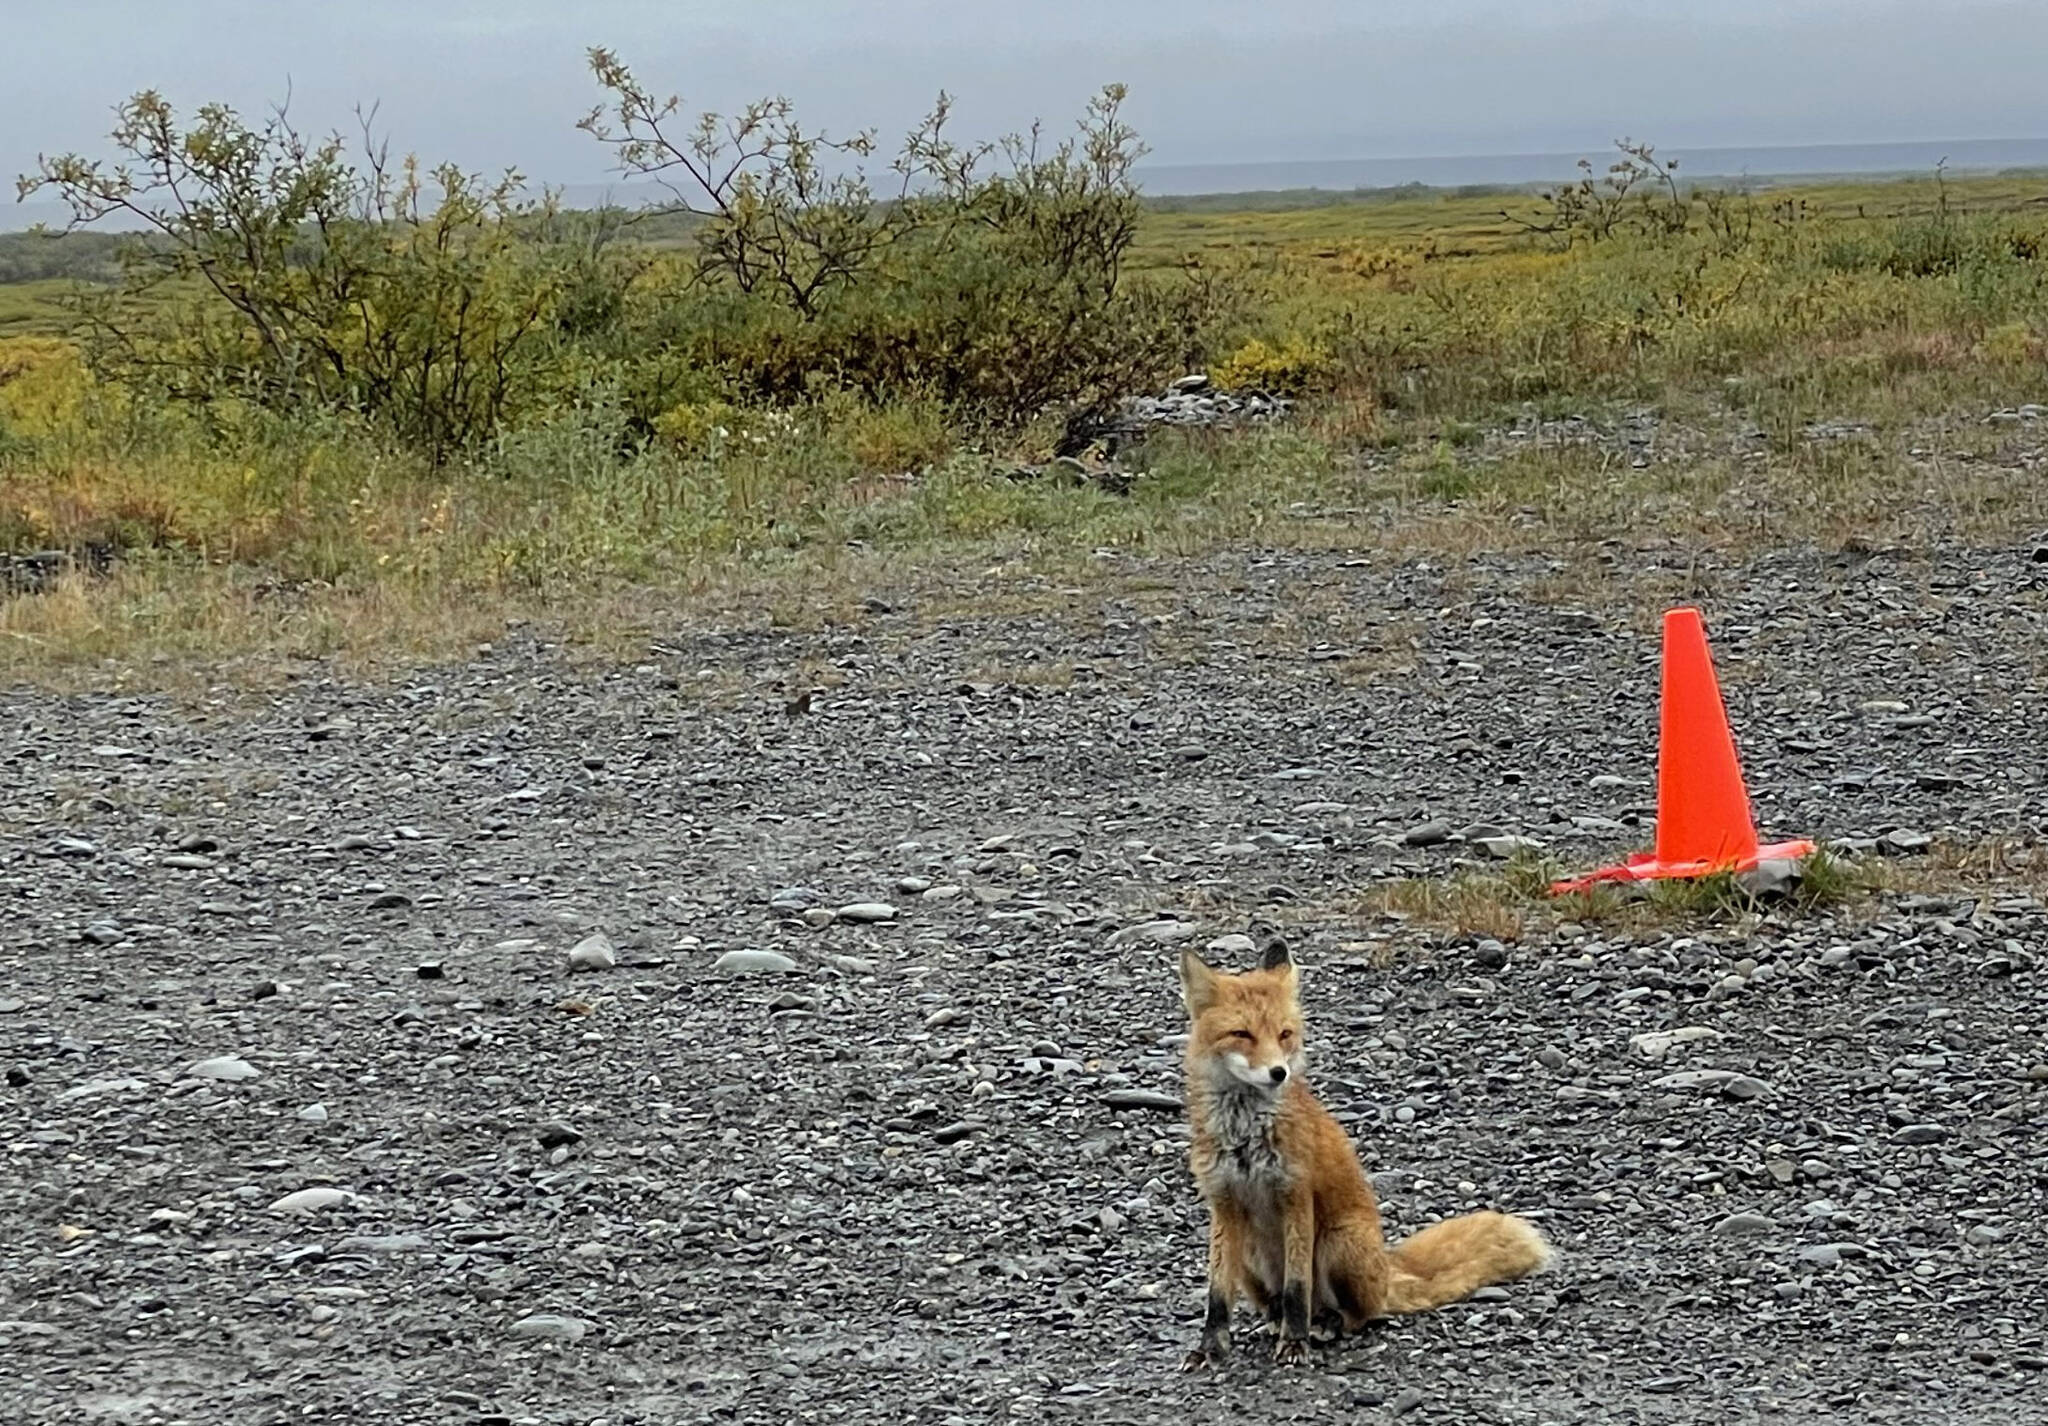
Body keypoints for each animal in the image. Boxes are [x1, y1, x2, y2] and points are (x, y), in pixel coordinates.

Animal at [1179, 942, 1540, 1368]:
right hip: (1251, 1254)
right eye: (1241, 1034)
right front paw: (1210, 1348)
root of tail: (1386, 1268)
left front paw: (1295, 1342)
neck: (1245, 1137)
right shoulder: (1224, 1204)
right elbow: (1218, 1295)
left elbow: (1297, 1289)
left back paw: (1324, 1324)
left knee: (1358, 1314)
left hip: (1338, 1243)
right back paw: (1276, 1322)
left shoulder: (1296, 1196)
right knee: (1276, 1303)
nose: (1279, 1072)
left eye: (1284, 1034)